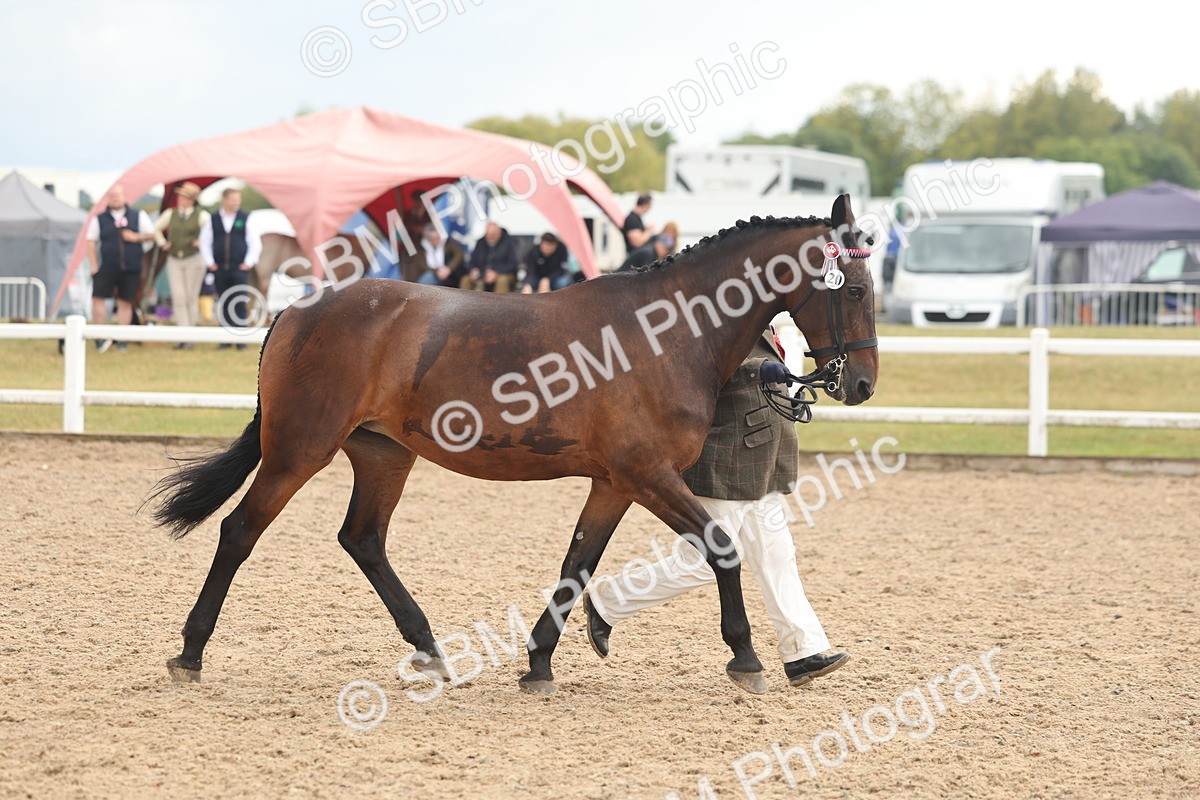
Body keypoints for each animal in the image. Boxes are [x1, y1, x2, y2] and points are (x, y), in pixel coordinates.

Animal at [149, 194, 879, 696]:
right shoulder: (647, 474)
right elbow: (723, 550)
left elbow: (577, 564)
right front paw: (747, 658)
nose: (863, 383)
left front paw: (539, 662)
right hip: (300, 449)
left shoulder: (615, 482)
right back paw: (190, 653)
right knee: (240, 532)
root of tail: (296, 310)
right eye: (855, 289)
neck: (665, 331)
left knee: (362, 539)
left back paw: (430, 649)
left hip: (384, 453)